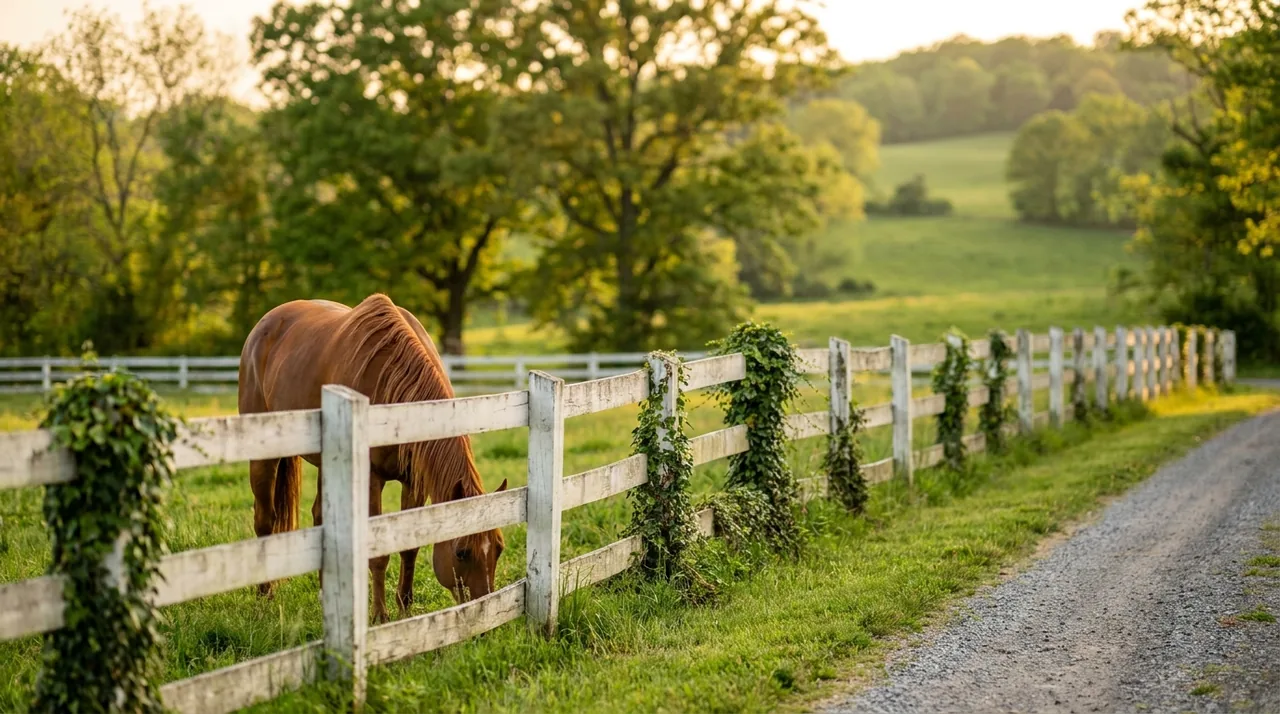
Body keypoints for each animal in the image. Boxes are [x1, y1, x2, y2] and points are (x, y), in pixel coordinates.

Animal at [238, 293, 507, 623]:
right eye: (462, 552)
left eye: (498, 548)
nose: (487, 611)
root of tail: (265, 324)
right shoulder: (371, 479)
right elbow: (378, 553)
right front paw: (380, 615)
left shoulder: (414, 480)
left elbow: (410, 547)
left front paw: (405, 606)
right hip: (264, 456)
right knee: (264, 521)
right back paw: (265, 596)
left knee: (319, 516)